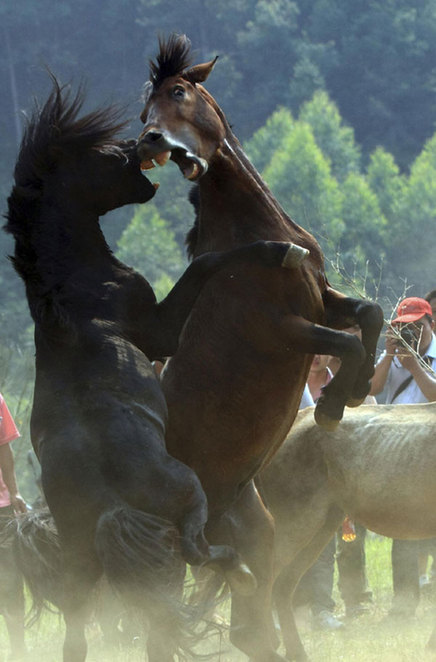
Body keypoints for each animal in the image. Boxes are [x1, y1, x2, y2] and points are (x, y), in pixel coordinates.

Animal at [138, 36, 384, 662]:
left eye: (179, 92)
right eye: (144, 108)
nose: (150, 141)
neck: (252, 235)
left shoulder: (322, 300)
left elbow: (367, 317)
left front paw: (350, 394)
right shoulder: (282, 327)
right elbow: (344, 343)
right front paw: (331, 405)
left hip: (255, 532)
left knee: (253, 623)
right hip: (171, 550)